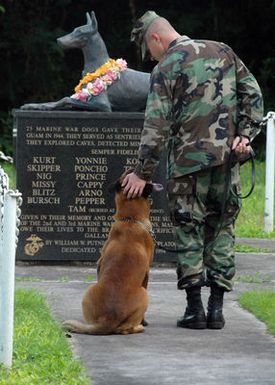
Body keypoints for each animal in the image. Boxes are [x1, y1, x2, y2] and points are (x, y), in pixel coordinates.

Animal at [63, 170, 156, 334]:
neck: (130, 219)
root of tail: (108, 319)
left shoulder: (99, 264)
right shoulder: (147, 274)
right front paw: (144, 322)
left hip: (89, 290)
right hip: (144, 295)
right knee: (126, 329)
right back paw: (139, 326)